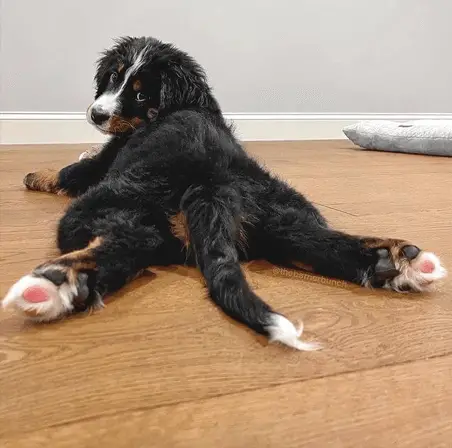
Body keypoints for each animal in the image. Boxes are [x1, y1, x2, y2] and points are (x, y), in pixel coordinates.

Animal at [3, 36, 446, 350]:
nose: (97, 114)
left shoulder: (107, 159)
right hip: (279, 211)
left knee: (128, 240)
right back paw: (395, 260)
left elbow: (72, 169)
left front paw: (36, 174)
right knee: (313, 240)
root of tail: (212, 183)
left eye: (141, 93)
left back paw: (58, 284)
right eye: (114, 77)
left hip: (109, 203)